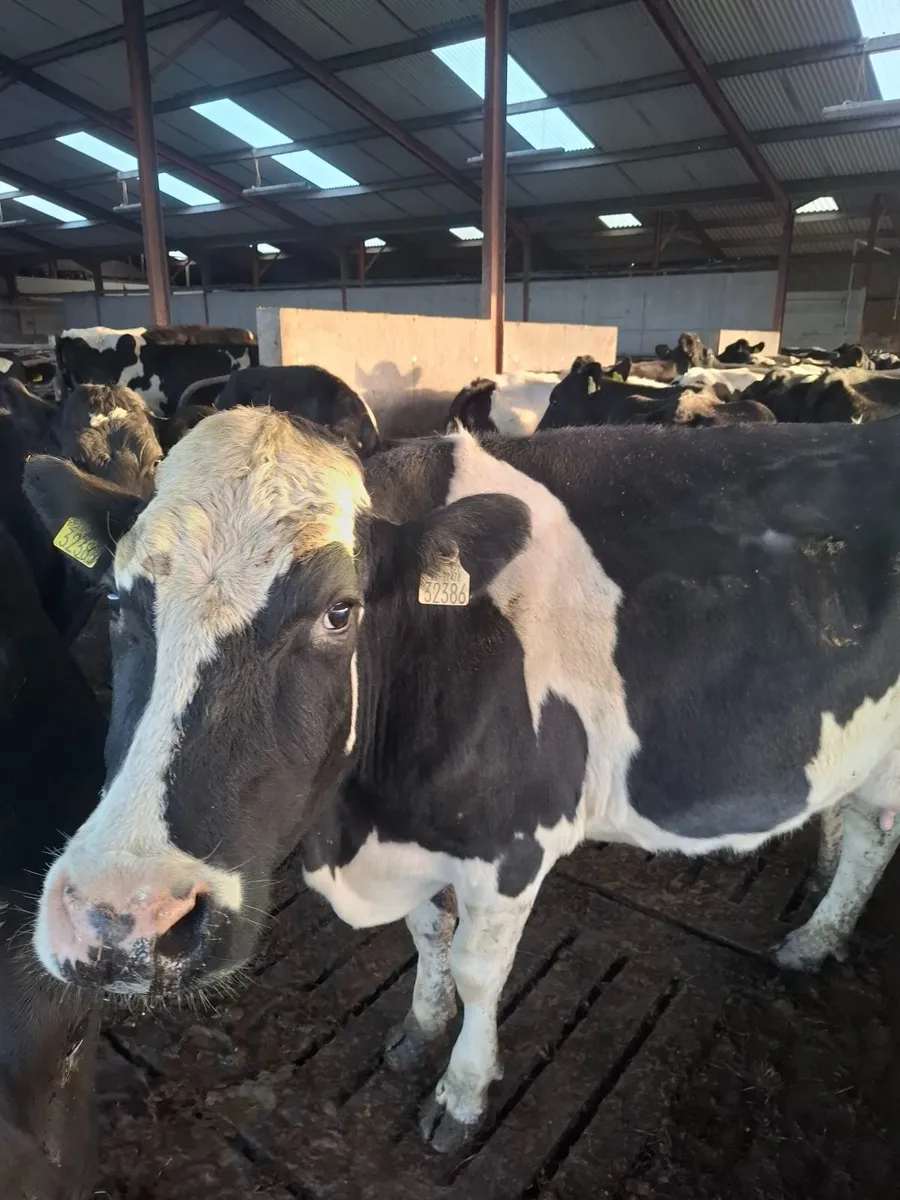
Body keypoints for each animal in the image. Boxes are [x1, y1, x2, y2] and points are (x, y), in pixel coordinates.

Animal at [23, 408, 900, 1155]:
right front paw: (421, 1027)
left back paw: (816, 938)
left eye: (340, 611)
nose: (123, 921)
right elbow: (426, 933)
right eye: (114, 599)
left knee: (874, 836)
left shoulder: (515, 844)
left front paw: (463, 1094)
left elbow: (482, 971)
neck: (363, 827)